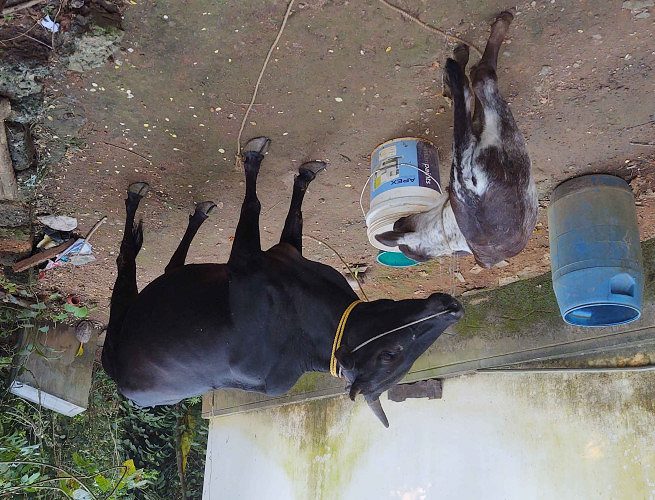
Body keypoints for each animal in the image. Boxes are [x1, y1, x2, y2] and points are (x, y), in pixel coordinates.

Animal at [101, 137, 464, 427]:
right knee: (145, 263)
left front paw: (274, 164)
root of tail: (121, 383)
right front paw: (281, 165)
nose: (454, 309)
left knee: (147, 263)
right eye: (390, 354)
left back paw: (166, 212)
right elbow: (275, 208)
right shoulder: (267, 255)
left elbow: (273, 208)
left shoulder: (262, 257)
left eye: (399, 359)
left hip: (136, 311)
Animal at [375, 11, 538, 268]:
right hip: (503, 129)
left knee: (470, 87)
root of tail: (472, 192)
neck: (445, 235)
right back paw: (497, 28)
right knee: (482, 77)